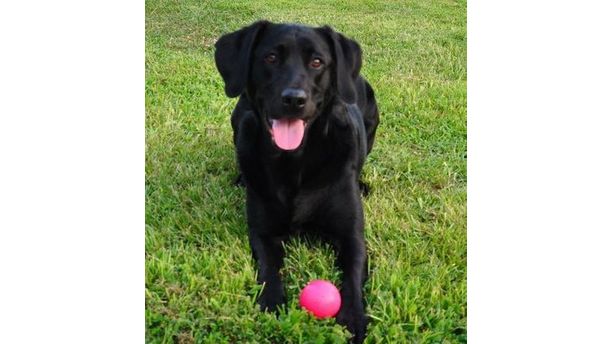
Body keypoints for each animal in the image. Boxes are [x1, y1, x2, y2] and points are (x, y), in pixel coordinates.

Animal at [214, 20, 378, 342]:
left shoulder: (352, 236)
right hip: (240, 117)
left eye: (317, 62)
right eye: (270, 58)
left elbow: (353, 276)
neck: (296, 161)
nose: (294, 99)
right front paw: (272, 303)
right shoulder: (263, 233)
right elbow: (268, 270)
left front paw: (353, 317)